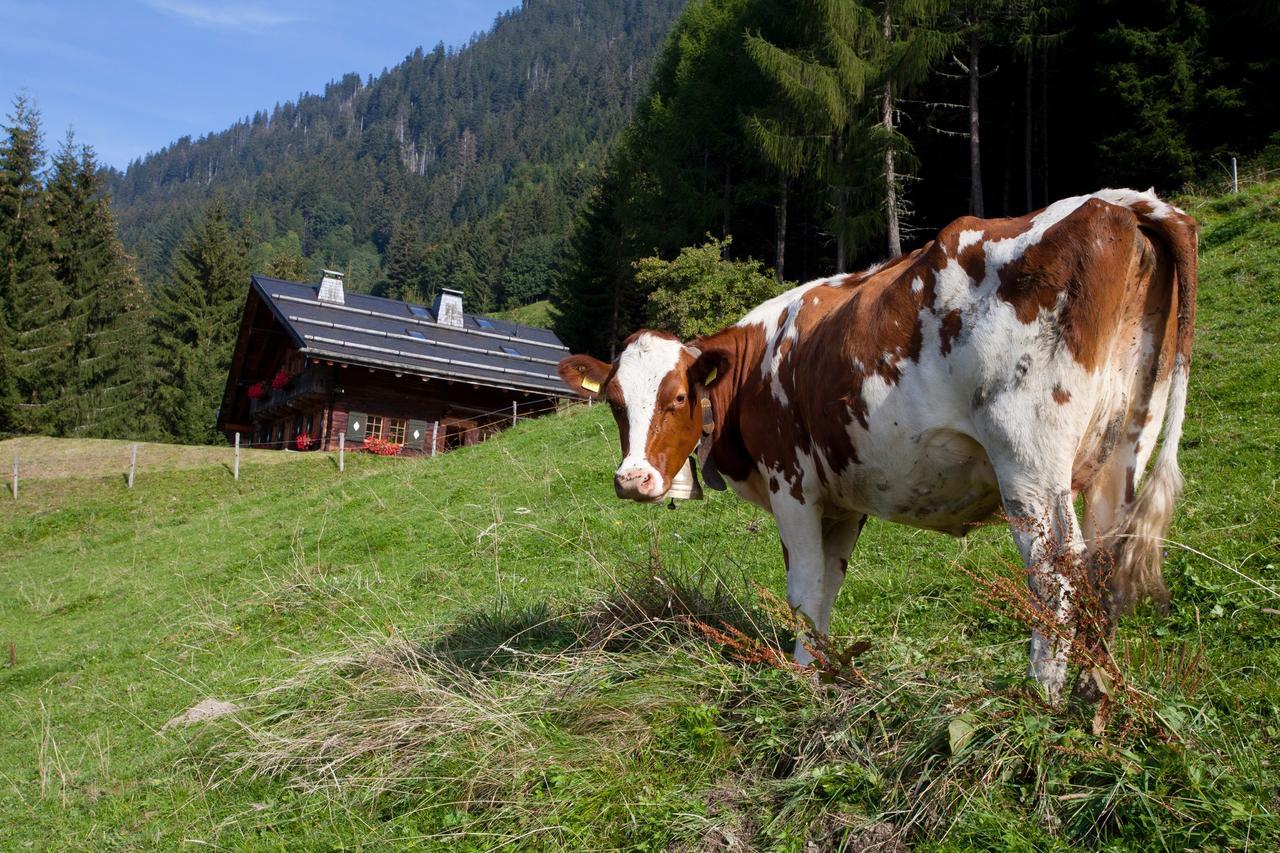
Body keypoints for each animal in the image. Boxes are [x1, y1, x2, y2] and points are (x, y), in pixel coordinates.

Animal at [560, 189, 1198, 701]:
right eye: (614, 401)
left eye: (676, 398)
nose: (632, 479)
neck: (756, 365)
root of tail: (1114, 203)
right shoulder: (841, 500)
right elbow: (827, 589)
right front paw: (827, 674)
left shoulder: (792, 484)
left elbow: (803, 589)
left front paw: (801, 681)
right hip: (1123, 447)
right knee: (1105, 562)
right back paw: (1097, 692)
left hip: (1029, 458)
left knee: (1056, 571)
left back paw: (1042, 697)